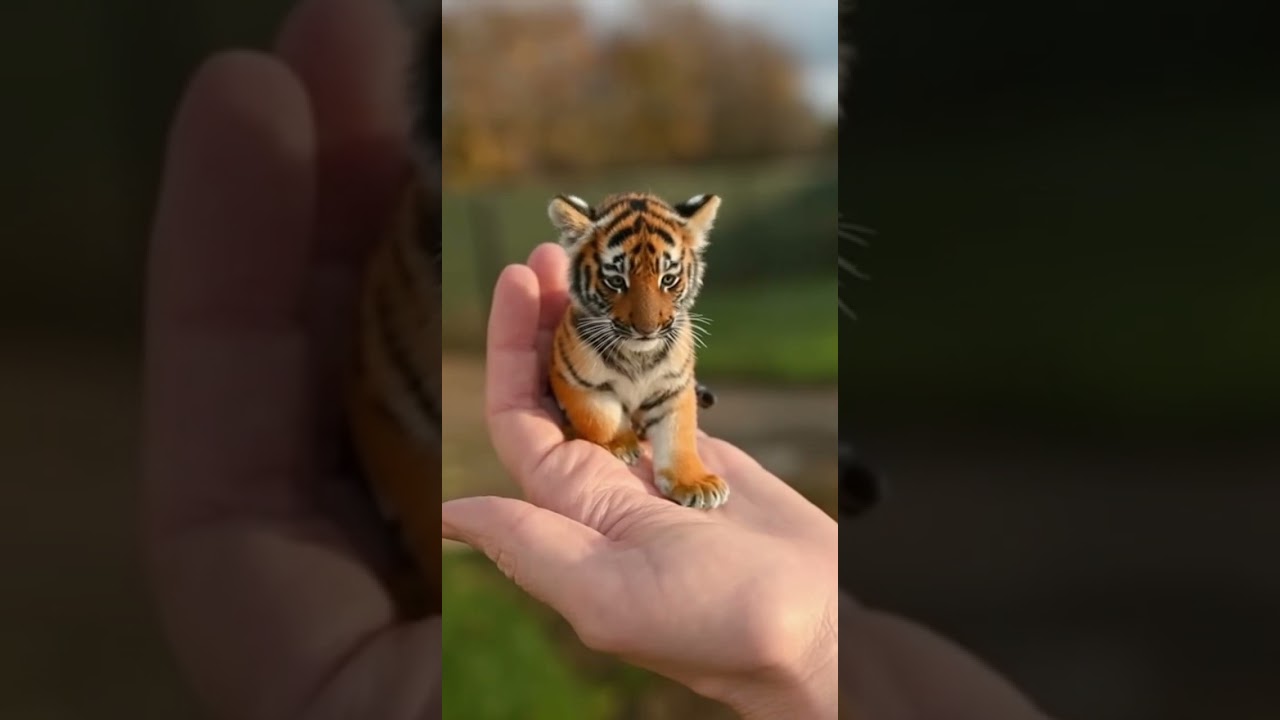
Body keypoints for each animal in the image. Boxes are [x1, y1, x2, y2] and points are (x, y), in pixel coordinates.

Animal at [546, 191, 729, 510]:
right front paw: (622, 446)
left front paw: (695, 483)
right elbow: (600, 417)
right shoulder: (572, 380)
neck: (638, 354)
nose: (647, 329)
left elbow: (679, 436)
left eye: (668, 279)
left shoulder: (674, 389)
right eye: (616, 281)